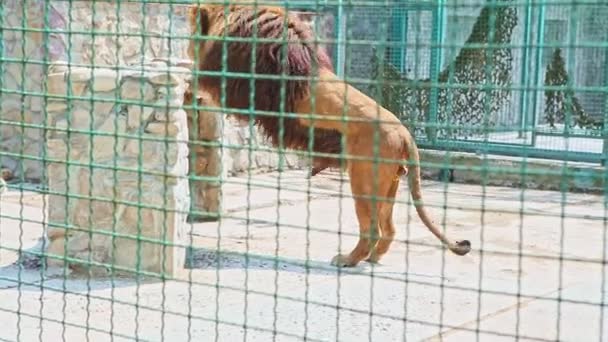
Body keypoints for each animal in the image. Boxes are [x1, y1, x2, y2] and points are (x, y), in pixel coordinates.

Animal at [185, 2, 470, 268]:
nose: (187, 49)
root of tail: (404, 133)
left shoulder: (238, 84)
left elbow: (201, 80)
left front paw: (188, 84)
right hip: (388, 184)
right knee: (389, 229)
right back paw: (372, 258)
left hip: (364, 181)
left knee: (372, 230)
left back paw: (348, 259)